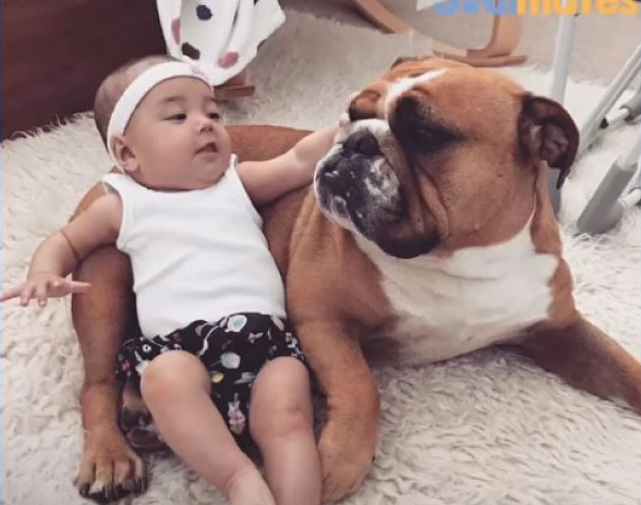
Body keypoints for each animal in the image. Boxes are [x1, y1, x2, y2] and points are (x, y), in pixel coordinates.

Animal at [69, 57, 641, 503]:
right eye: (353, 113)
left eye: (426, 134)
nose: (356, 140)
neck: (456, 258)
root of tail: (116, 171)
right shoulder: (321, 316)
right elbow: (361, 387)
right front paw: (336, 463)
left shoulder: (560, 330)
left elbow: (624, 369)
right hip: (102, 280)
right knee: (98, 381)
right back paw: (110, 456)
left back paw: (142, 413)